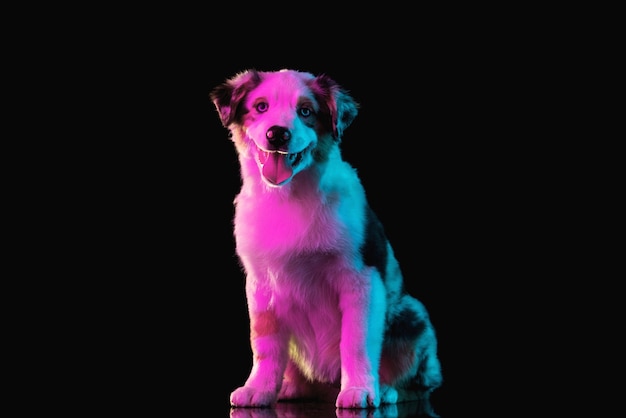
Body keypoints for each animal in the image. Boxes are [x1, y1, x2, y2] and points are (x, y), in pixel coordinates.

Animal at [208, 68, 438, 412]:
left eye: (306, 112)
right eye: (261, 106)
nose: (278, 134)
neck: (289, 196)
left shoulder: (361, 277)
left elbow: (356, 340)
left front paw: (359, 390)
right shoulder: (260, 282)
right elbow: (263, 342)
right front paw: (258, 389)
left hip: (414, 316)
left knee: (418, 381)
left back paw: (385, 390)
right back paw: (290, 387)